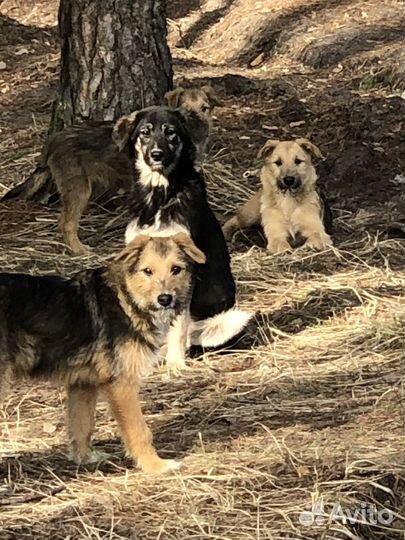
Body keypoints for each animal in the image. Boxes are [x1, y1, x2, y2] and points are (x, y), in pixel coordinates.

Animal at [0, 234, 204, 474]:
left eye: (176, 269)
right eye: (147, 271)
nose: (165, 299)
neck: (128, 299)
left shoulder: (83, 384)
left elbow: (82, 425)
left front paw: (85, 458)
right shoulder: (122, 384)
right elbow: (140, 431)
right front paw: (155, 465)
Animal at [111, 106, 249, 372]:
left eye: (171, 132)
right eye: (145, 132)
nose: (156, 154)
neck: (159, 196)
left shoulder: (186, 266)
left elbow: (177, 326)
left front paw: (175, 364)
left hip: (225, 319)